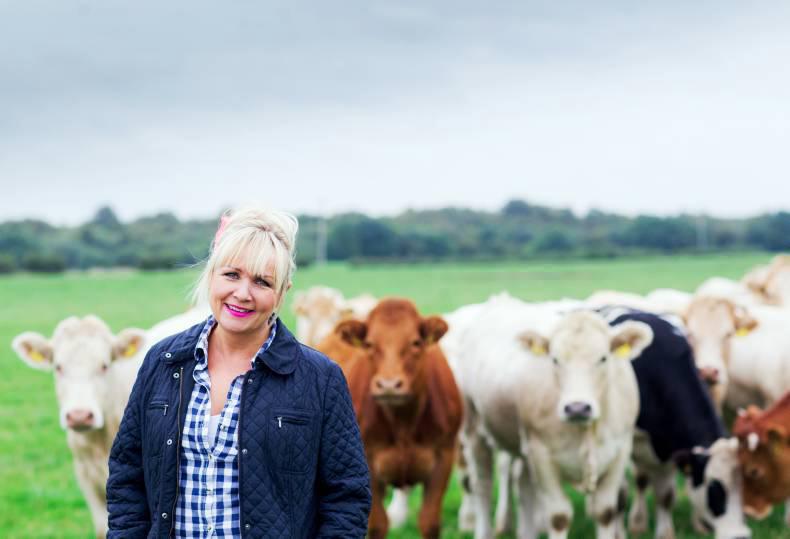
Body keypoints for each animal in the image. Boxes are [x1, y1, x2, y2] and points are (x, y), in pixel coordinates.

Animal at [319, 298, 462, 539]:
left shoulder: (444, 457)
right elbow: (377, 525)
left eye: (415, 342)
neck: (403, 422)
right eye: (369, 344)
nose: (389, 385)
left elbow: (429, 522)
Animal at [445, 293, 649, 539]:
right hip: (475, 431)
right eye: (554, 359)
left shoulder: (619, 452)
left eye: (603, 358)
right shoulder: (541, 455)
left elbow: (605, 511)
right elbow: (559, 516)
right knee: (483, 486)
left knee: (524, 487)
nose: (577, 408)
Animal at [597, 307, 751, 539]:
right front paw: (618, 533)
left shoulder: (670, 445)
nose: (739, 536)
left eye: (747, 489)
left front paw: (665, 533)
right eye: (714, 489)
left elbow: (666, 495)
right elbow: (619, 497)